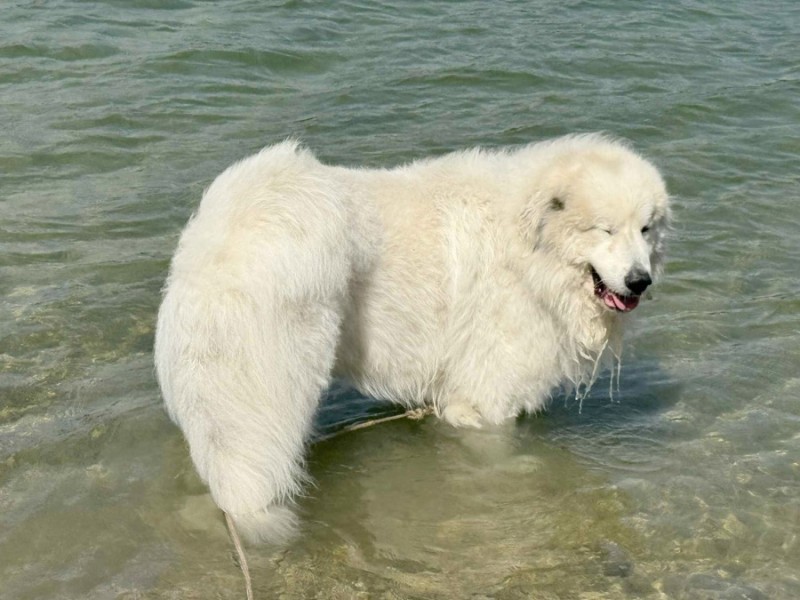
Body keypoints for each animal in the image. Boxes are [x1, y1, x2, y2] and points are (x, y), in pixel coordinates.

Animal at [154, 134, 670, 543]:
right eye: (604, 229)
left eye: (645, 229)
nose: (640, 280)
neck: (528, 249)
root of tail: (225, 227)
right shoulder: (486, 399)